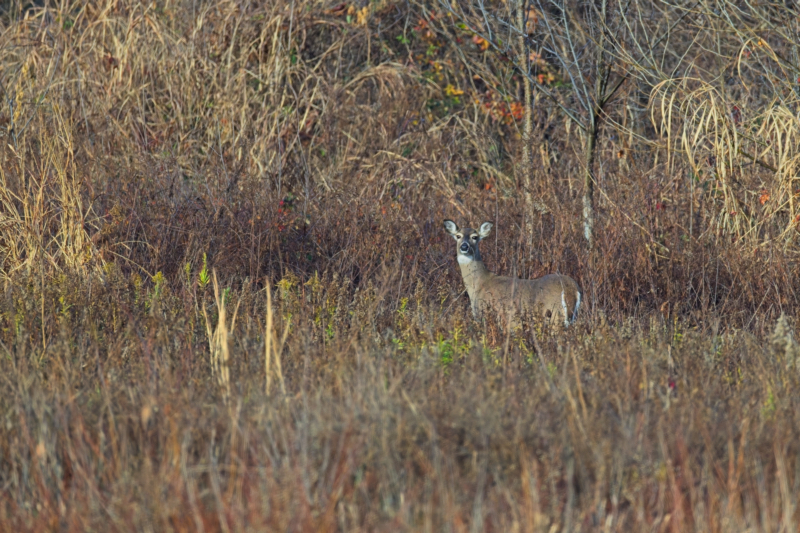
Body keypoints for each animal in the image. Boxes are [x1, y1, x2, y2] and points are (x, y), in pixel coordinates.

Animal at [444, 218, 580, 326]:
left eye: (474, 237)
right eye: (458, 236)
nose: (464, 246)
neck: (479, 284)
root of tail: (571, 289)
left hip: (554, 314)